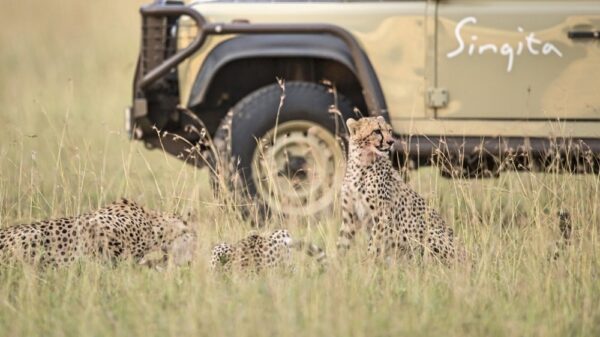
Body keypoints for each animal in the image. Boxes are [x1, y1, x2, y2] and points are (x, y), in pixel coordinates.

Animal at [338, 116, 464, 262]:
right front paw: (334, 264)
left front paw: (368, 263)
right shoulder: (350, 218)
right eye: (377, 131)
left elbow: (373, 245)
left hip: (429, 234)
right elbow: (341, 244)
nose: (391, 142)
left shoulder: (382, 217)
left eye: (389, 130)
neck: (361, 163)